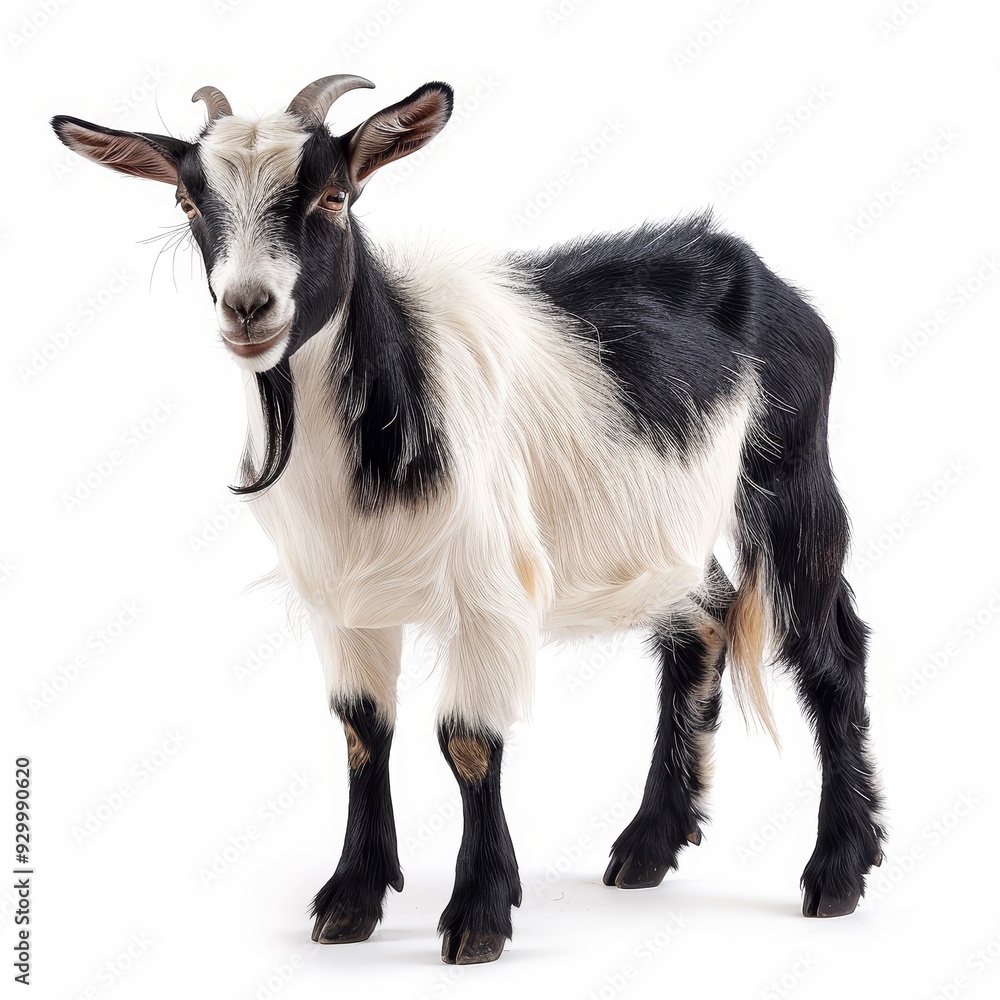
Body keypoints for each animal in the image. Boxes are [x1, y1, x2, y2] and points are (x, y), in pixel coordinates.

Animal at [52, 75, 885, 965]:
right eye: (187, 201)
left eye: (334, 195)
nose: (249, 308)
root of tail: (766, 278)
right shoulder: (344, 603)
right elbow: (363, 732)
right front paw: (350, 901)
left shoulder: (489, 592)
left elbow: (468, 741)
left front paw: (479, 915)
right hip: (672, 526)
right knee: (704, 622)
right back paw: (647, 848)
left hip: (788, 477)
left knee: (831, 648)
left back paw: (838, 871)